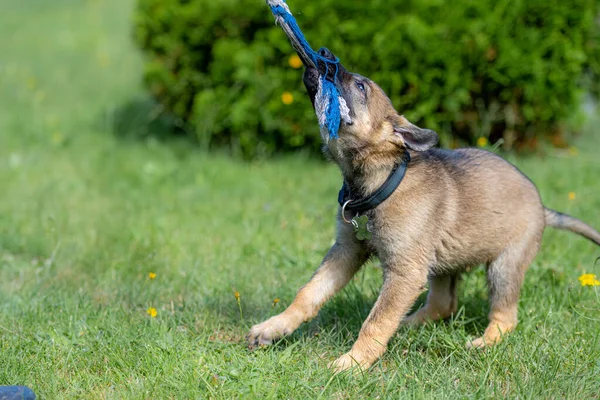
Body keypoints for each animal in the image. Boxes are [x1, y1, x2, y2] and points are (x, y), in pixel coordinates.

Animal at [246, 48, 596, 374]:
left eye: (360, 86)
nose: (325, 53)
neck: (379, 182)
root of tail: (542, 207)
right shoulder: (346, 250)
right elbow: (309, 293)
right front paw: (273, 327)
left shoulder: (404, 271)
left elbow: (376, 321)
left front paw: (353, 362)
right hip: (442, 263)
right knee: (443, 304)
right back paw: (406, 325)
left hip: (504, 265)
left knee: (505, 315)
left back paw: (483, 342)